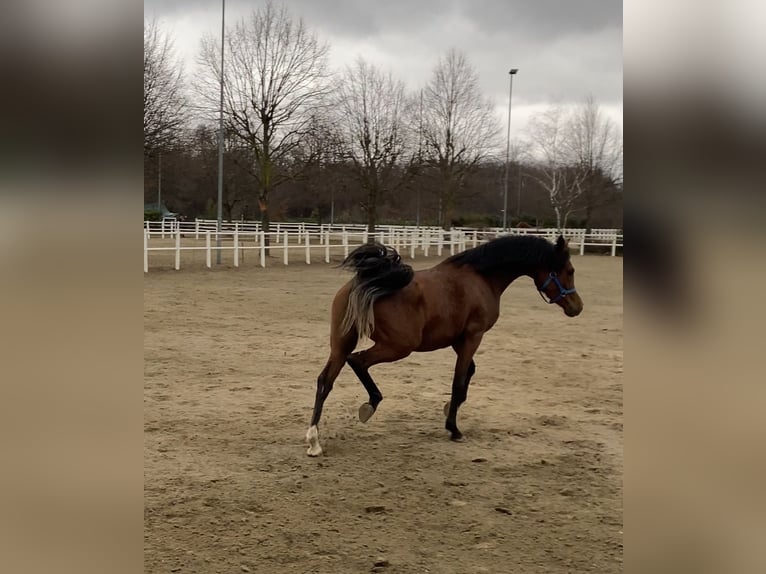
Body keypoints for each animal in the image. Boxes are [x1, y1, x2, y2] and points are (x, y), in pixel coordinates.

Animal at [305, 234, 583, 456]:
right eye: (569, 271)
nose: (577, 307)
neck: (481, 278)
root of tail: (365, 283)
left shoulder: (459, 341)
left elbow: (469, 373)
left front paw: (450, 408)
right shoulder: (473, 336)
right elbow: (459, 381)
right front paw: (454, 428)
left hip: (341, 344)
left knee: (325, 381)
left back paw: (314, 441)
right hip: (399, 346)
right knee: (357, 361)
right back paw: (369, 406)